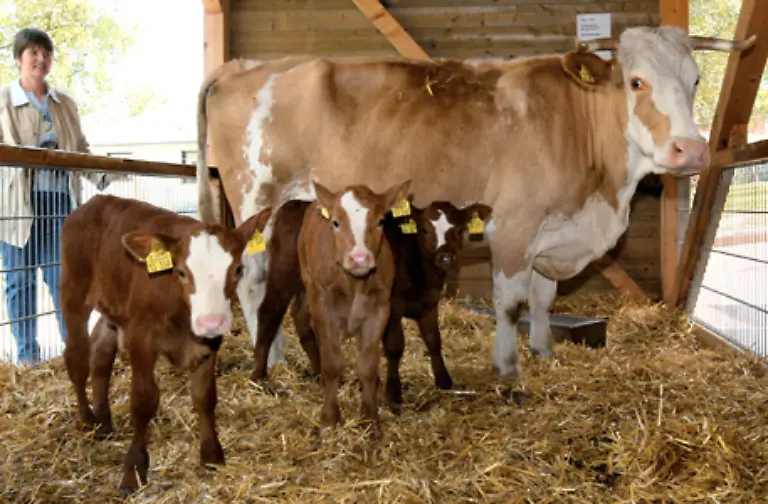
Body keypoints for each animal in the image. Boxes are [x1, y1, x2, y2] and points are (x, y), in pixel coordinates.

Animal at [59, 194, 272, 493]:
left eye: (238, 269)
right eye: (181, 272)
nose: (211, 322)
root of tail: (95, 201)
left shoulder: (208, 343)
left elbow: (205, 396)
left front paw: (212, 456)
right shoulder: (141, 337)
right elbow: (144, 401)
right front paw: (134, 471)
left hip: (114, 306)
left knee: (100, 352)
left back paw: (103, 421)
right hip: (73, 290)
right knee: (77, 357)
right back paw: (88, 420)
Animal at [194, 26, 755, 383]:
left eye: (696, 80)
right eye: (637, 81)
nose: (692, 151)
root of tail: (246, 67)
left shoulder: (551, 232)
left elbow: (544, 299)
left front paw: (544, 352)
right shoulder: (514, 226)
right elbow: (510, 302)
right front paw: (508, 368)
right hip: (258, 198)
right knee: (253, 282)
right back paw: (274, 359)